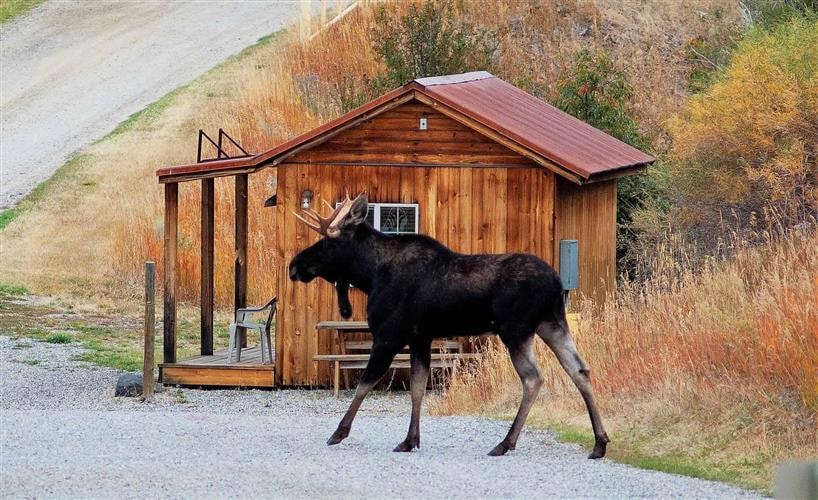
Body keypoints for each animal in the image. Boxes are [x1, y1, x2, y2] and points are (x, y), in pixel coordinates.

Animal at [288, 193, 609, 458]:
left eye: (329, 241)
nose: (294, 266)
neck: (370, 274)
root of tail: (556, 282)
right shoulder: (420, 337)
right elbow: (418, 385)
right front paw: (410, 440)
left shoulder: (389, 335)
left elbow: (366, 382)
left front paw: (338, 433)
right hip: (552, 323)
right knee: (579, 369)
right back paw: (599, 443)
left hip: (516, 330)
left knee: (533, 378)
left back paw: (505, 443)